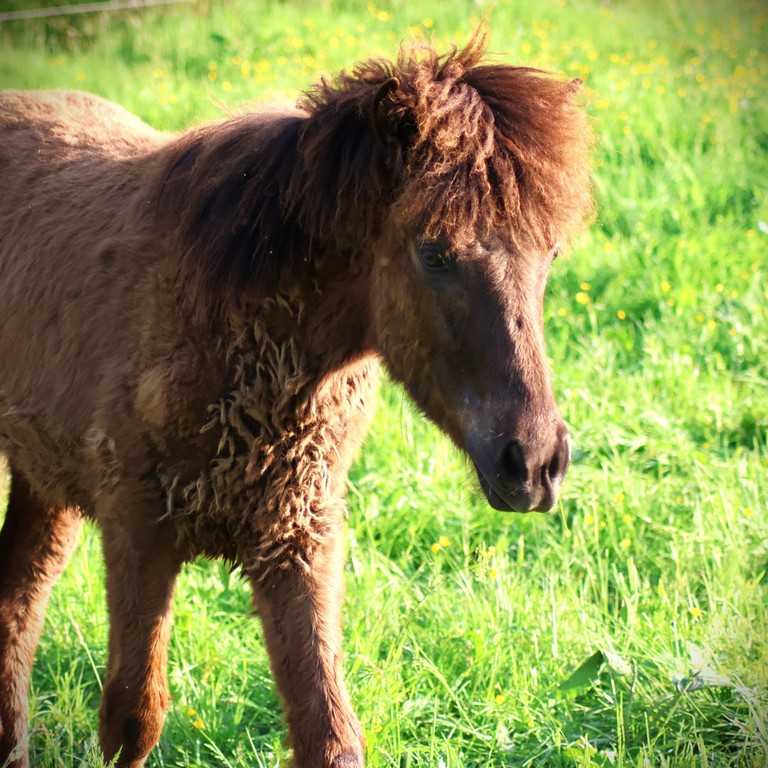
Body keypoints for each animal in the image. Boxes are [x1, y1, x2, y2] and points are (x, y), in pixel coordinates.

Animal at [0, 35, 593, 768]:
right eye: (434, 254)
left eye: (551, 254)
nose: (535, 463)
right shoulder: (138, 532)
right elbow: (132, 719)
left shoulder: (299, 538)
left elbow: (330, 736)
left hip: (44, 481)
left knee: (16, 599)